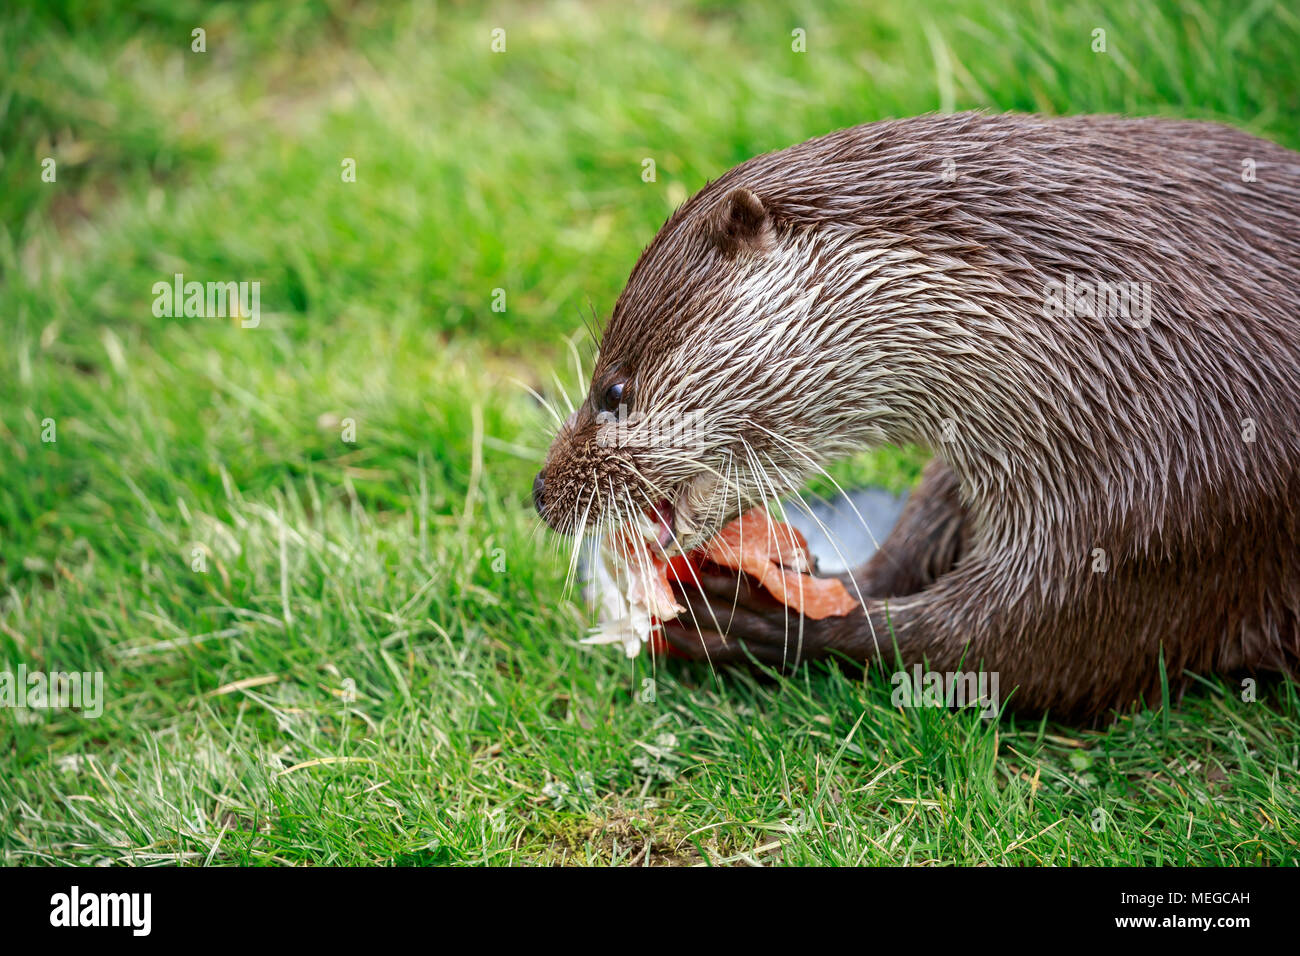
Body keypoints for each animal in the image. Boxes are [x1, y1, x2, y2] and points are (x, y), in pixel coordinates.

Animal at [530, 111, 1300, 723]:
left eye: (615, 391)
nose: (540, 491)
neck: (1119, 328)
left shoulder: (1164, 509)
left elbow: (1026, 651)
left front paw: (752, 621)